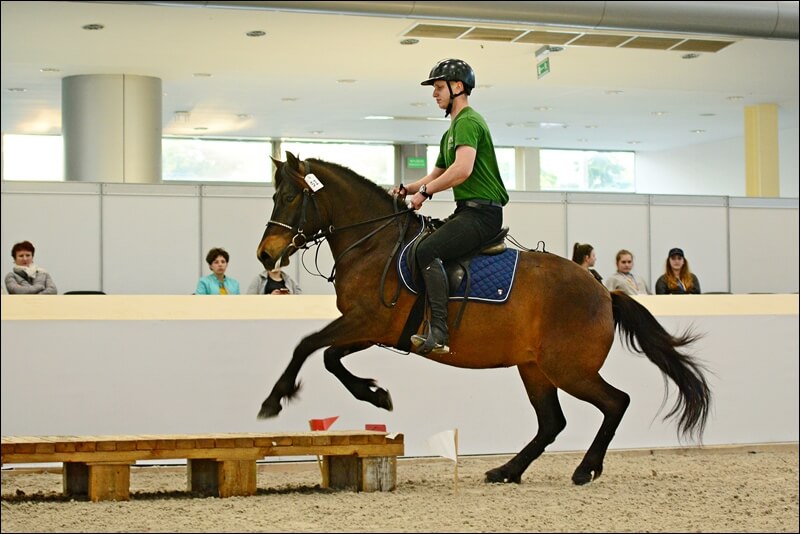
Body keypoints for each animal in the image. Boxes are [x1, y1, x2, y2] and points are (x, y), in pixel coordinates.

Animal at [258, 153, 712, 488]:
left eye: (290, 197)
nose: (265, 255)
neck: (375, 245)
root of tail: (603, 292)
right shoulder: (373, 329)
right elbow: (330, 357)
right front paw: (375, 393)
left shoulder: (366, 321)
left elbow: (308, 346)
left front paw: (273, 400)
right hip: (535, 368)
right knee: (552, 422)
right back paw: (507, 470)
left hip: (568, 368)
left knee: (616, 403)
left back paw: (585, 469)